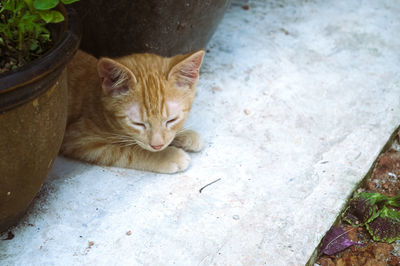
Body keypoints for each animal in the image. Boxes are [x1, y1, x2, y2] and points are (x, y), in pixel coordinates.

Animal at [61, 49, 206, 175]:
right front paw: (166, 156)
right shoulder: (77, 139)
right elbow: (127, 151)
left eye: (172, 120)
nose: (157, 146)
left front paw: (186, 134)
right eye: (138, 124)